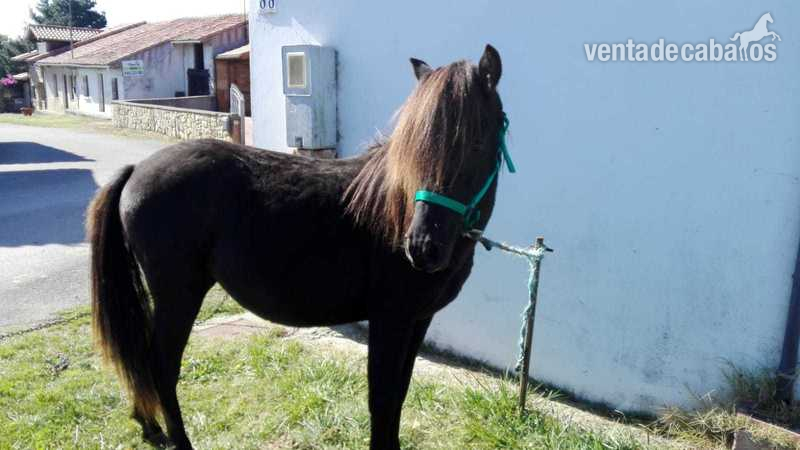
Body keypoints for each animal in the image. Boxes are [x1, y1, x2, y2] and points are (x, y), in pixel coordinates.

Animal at [87, 44, 508, 450]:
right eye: (414, 147)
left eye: (476, 142)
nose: (422, 247)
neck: (395, 207)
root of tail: (137, 171)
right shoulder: (390, 319)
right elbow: (383, 399)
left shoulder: (418, 320)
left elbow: (399, 395)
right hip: (178, 297)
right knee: (161, 368)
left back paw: (150, 427)